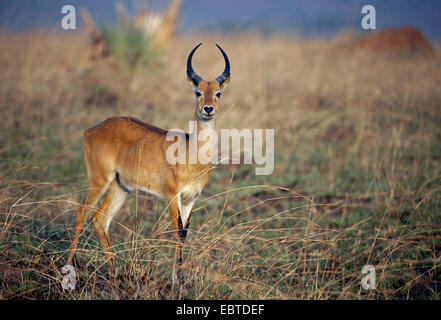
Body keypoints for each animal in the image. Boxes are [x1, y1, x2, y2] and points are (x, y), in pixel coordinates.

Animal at [67, 42, 230, 284]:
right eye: (198, 92)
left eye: (218, 92)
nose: (208, 109)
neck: (191, 153)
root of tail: (92, 129)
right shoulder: (172, 197)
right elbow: (176, 232)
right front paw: (176, 281)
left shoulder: (191, 199)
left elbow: (184, 234)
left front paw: (180, 278)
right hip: (99, 180)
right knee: (81, 214)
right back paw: (69, 270)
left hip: (120, 187)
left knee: (99, 219)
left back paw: (115, 272)